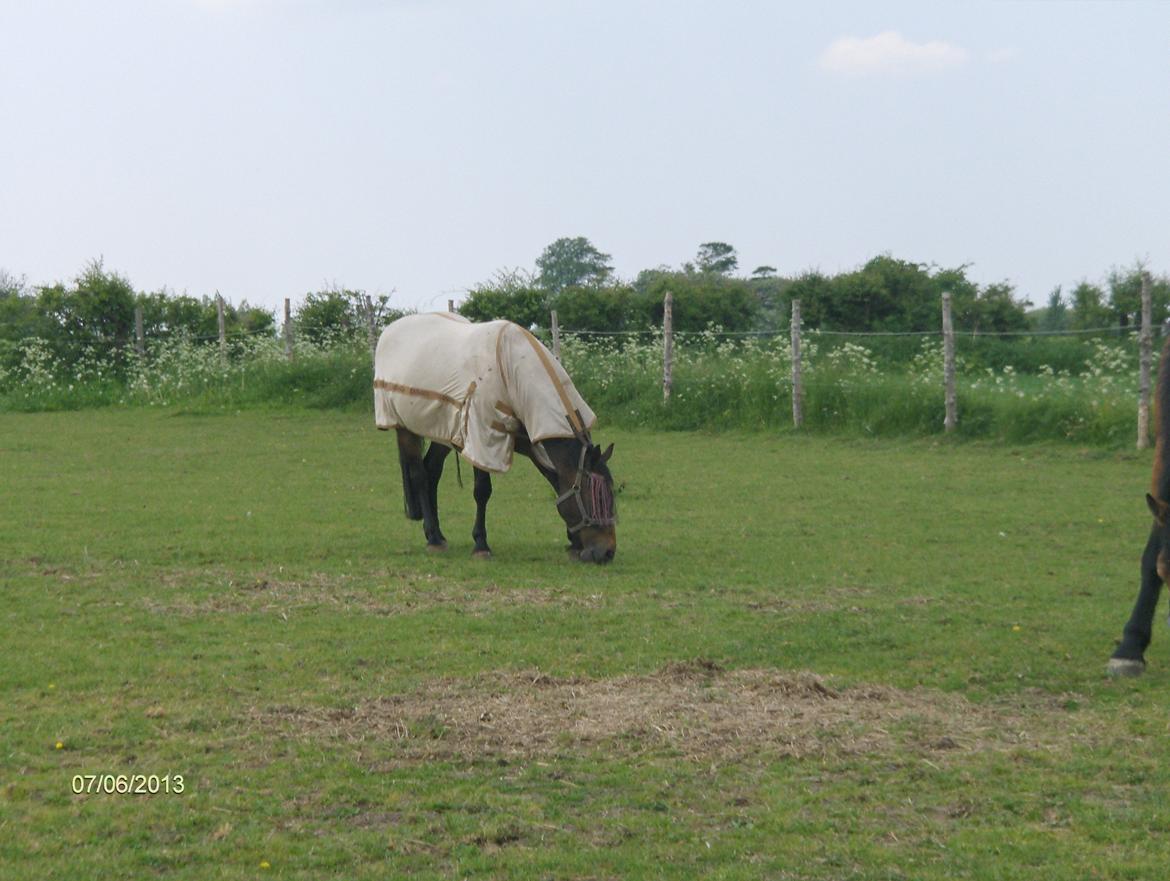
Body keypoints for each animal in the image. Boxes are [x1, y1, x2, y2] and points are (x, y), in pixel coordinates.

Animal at [373, 312, 617, 563]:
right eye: (595, 496)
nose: (607, 552)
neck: (513, 372)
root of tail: (390, 332)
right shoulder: (482, 437)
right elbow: (482, 491)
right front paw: (481, 544)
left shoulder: (530, 441)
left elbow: (557, 480)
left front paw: (575, 542)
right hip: (405, 428)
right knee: (419, 474)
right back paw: (433, 538)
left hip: (442, 431)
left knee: (432, 469)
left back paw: (438, 534)